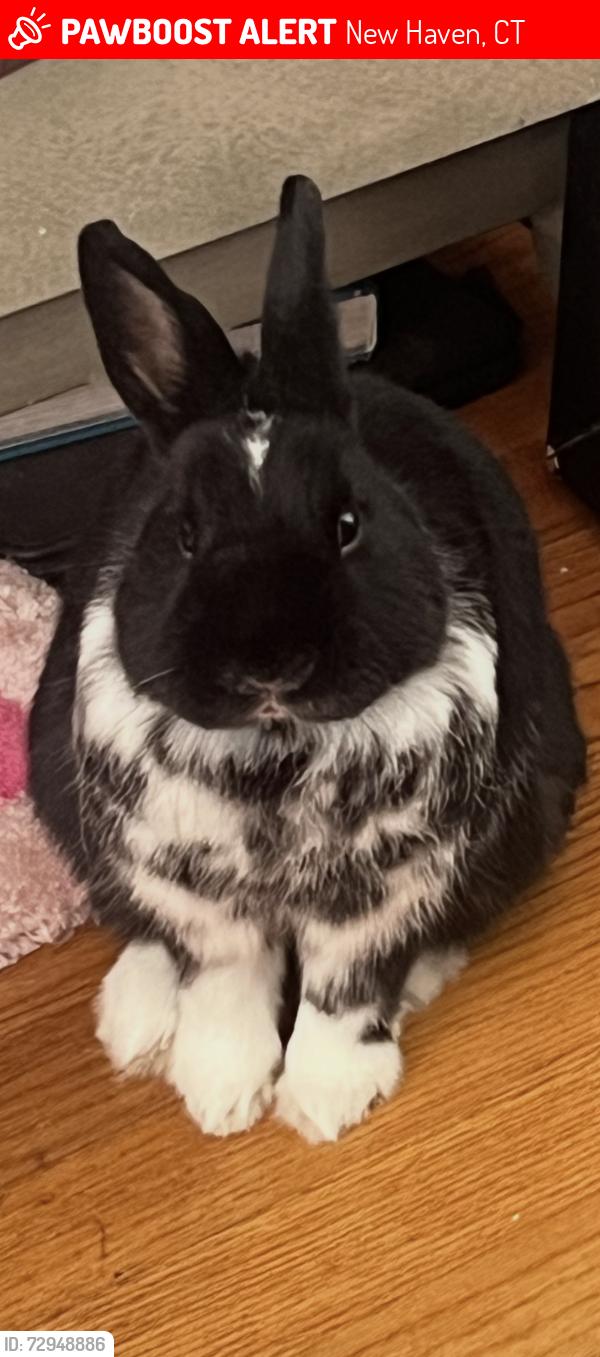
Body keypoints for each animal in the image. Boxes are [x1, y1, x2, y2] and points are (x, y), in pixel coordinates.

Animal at [29, 176, 586, 1143]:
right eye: (181, 533)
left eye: (350, 523)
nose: (270, 663)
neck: (275, 753)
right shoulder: (198, 900)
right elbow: (220, 986)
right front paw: (218, 1094)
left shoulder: (385, 895)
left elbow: (342, 991)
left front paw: (324, 1100)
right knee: (138, 930)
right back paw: (135, 1021)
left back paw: (421, 981)